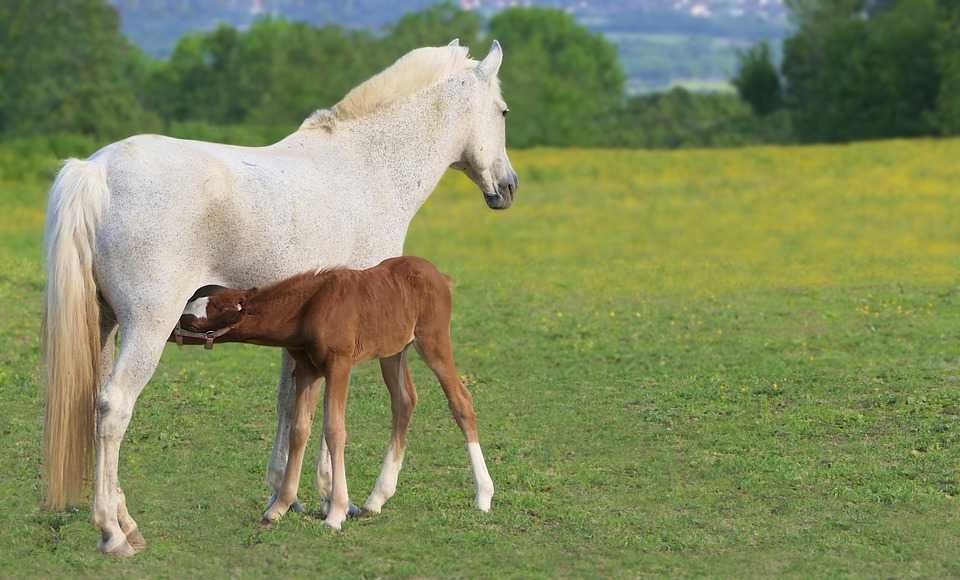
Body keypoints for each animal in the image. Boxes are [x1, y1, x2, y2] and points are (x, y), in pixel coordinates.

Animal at [173, 256, 498, 528]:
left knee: (460, 401)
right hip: (393, 351)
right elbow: (299, 429)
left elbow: (334, 429)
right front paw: (279, 507)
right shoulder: (307, 369)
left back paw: (483, 496)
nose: (171, 331)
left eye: (193, 320)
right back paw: (376, 499)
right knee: (404, 402)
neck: (308, 308)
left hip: (432, 339)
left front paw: (336, 513)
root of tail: (440, 276)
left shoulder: (339, 364)